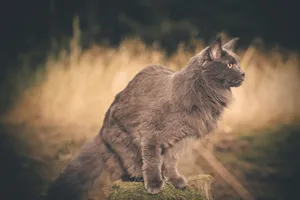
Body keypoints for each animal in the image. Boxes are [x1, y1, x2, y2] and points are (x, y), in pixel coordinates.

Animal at [46, 35, 244, 199]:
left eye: (238, 64)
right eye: (229, 65)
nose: (243, 73)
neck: (204, 93)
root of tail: (100, 134)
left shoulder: (181, 139)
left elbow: (170, 162)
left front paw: (175, 180)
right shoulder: (151, 133)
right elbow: (153, 161)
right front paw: (155, 184)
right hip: (125, 145)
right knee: (128, 168)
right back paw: (140, 177)